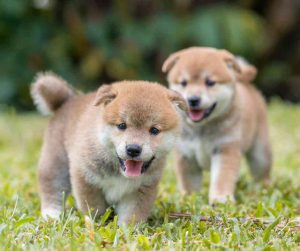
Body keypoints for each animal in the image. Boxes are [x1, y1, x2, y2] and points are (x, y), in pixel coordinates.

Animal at [31, 72, 185, 224]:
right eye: (122, 125)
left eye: (154, 130)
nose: (133, 149)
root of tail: (67, 101)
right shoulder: (85, 177)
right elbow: (94, 209)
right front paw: (96, 224)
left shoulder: (140, 190)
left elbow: (131, 215)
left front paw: (126, 230)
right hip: (56, 162)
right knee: (51, 189)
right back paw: (51, 214)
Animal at [162, 46, 272, 204]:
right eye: (183, 83)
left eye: (210, 82)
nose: (193, 99)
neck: (202, 128)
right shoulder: (186, 155)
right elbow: (188, 182)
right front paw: (188, 198)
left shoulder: (225, 149)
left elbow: (222, 178)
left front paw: (221, 198)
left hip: (260, 152)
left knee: (262, 171)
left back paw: (264, 187)